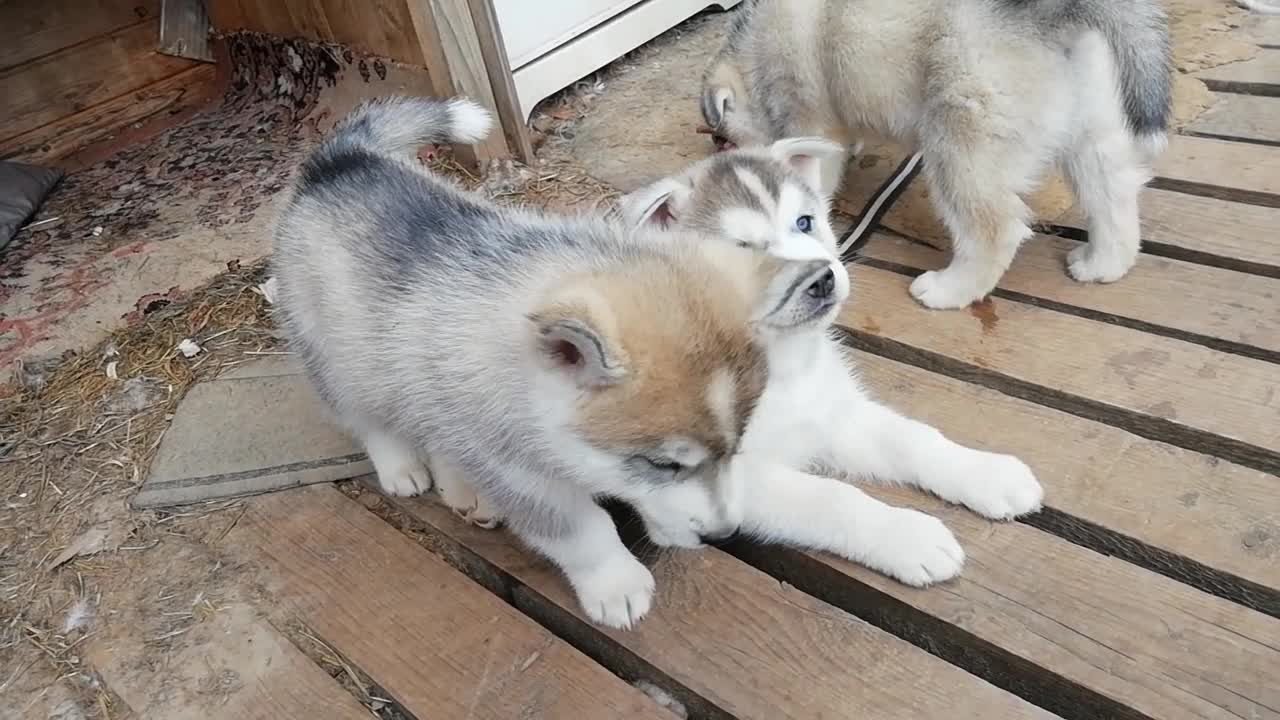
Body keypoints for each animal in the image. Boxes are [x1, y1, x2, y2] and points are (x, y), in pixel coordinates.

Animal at [622, 140, 1049, 584]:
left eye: (804, 222)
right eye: (743, 252)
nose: (822, 280)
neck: (785, 366)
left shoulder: (831, 412)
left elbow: (912, 439)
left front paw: (984, 473)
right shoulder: (714, 481)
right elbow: (831, 498)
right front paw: (908, 536)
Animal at [701, 0, 1172, 304]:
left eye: (723, 141)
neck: (754, 50)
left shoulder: (808, 112)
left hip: (961, 140)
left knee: (995, 230)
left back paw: (949, 291)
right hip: (1094, 126)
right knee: (1111, 196)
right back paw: (1103, 264)